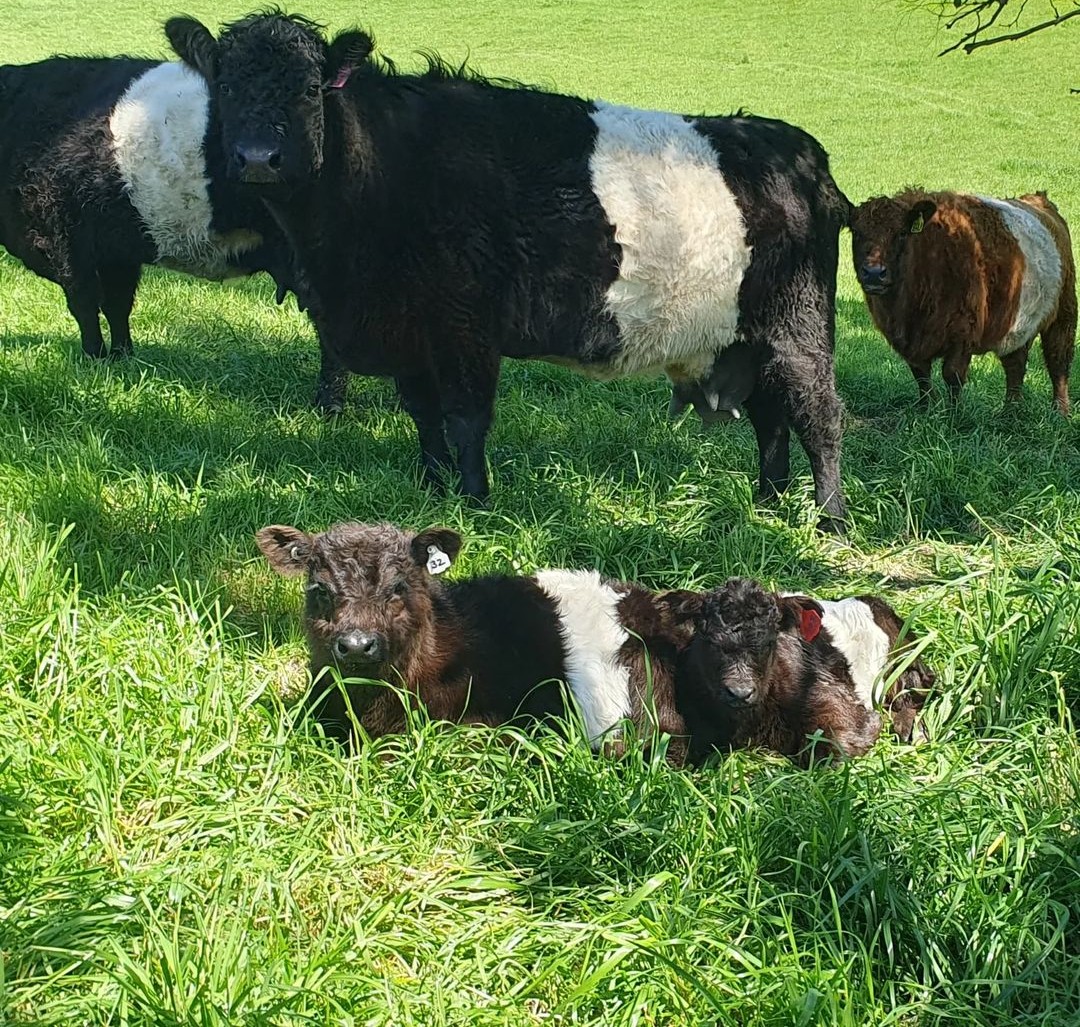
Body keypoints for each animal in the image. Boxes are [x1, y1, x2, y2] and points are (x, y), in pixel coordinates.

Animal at [0, 55, 347, 414]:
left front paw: (94, 359)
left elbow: (84, 305)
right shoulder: (115, 252)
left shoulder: (64, 240)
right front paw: (121, 359)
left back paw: (328, 407)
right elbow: (117, 304)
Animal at [166, 14, 851, 529]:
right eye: (225, 87)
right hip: (743, 338)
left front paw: (473, 503)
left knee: (818, 414)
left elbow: (467, 418)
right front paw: (431, 486)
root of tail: (799, 149)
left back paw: (829, 521)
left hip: (798, 325)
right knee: (770, 416)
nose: (259, 158)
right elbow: (424, 414)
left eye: (310, 90)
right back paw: (767, 505)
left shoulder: (467, 323)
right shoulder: (411, 331)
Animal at [851, 188, 1071, 414]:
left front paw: (954, 415)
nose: (874, 273)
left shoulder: (963, 330)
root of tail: (1039, 200)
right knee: (1015, 364)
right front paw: (925, 409)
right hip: (1016, 322)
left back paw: (1061, 411)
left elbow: (952, 375)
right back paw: (1011, 411)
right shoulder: (912, 343)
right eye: (856, 233)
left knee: (1058, 360)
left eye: (902, 233)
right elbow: (921, 375)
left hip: (1064, 312)